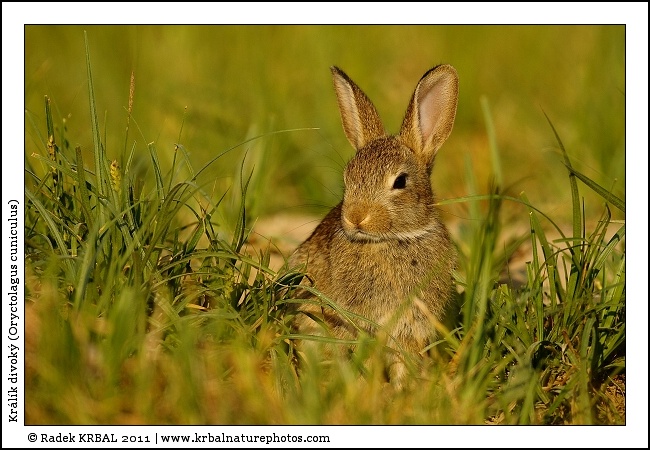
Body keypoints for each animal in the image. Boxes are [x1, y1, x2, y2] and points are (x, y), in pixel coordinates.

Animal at [289, 64, 459, 386]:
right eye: (347, 179)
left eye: (400, 182)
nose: (355, 217)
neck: (394, 240)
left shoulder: (410, 329)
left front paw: (402, 390)